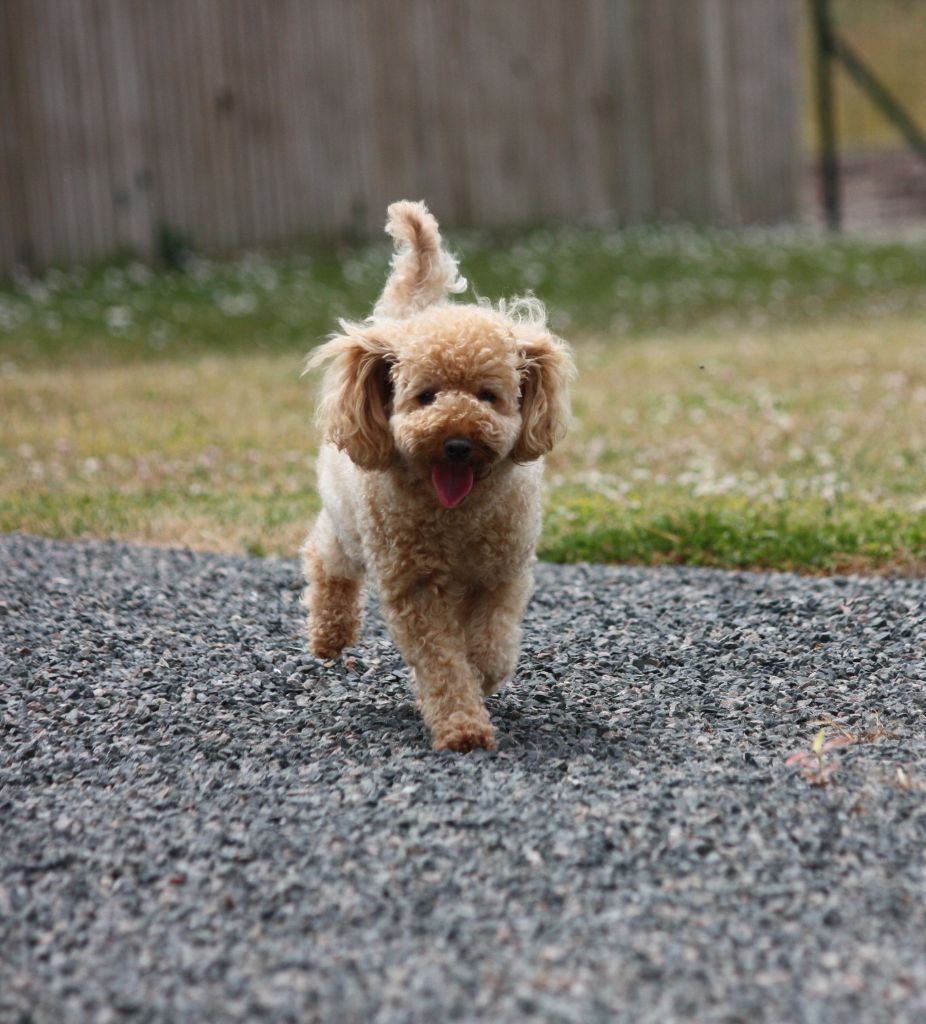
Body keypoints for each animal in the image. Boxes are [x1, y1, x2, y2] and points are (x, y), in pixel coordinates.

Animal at [303, 199, 573, 749]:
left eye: (488, 396)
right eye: (426, 396)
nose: (457, 443)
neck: (455, 516)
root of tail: (401, 319)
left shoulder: (501, 573)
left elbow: (490, 641)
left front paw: (483, 672)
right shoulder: (414, 586)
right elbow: (442, 662)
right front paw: (462, 726)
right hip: (348, 524)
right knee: (324, 556)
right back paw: (330, 634)